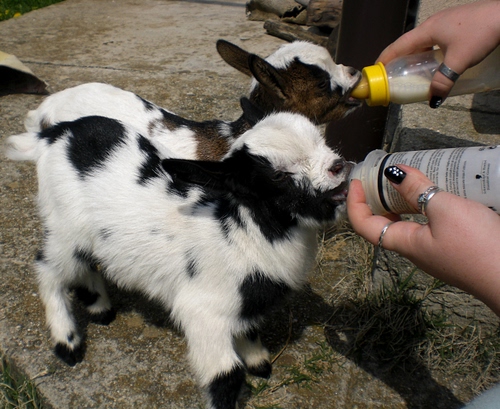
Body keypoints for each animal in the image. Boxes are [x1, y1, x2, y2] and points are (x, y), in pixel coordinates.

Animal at [6, 110, 352, 409]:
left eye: (320, 139)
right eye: (277, 176)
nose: (338, 166)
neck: (244, 231)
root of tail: (54, 134)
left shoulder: (240, 301)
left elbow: (249, 328)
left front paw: (258, 361)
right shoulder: (202, 312)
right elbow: (225, 377)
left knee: (84, 262)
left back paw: (99, 306)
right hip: (65, 227)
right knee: (48, 269)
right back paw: (67, 342)